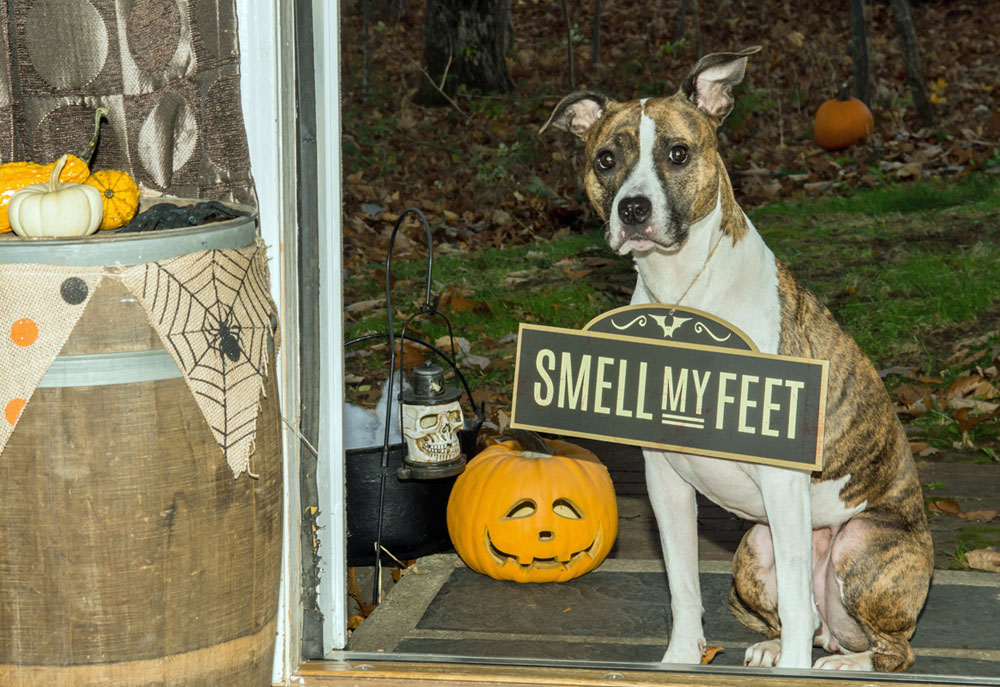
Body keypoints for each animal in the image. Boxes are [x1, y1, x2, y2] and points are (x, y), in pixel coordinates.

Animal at [544, 48, 932, 672]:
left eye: (678, 152)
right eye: (605, 159)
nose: (633, 209)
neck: (682, 295)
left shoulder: (782, 482)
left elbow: (796, 599)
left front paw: (797, 673)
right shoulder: (665, 483)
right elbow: (681, 584)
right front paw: (681, 658)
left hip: (859, 545)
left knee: (887, 645)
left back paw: (843, 661)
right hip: (754, 546)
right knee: (808, 615)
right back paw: (775, 648)